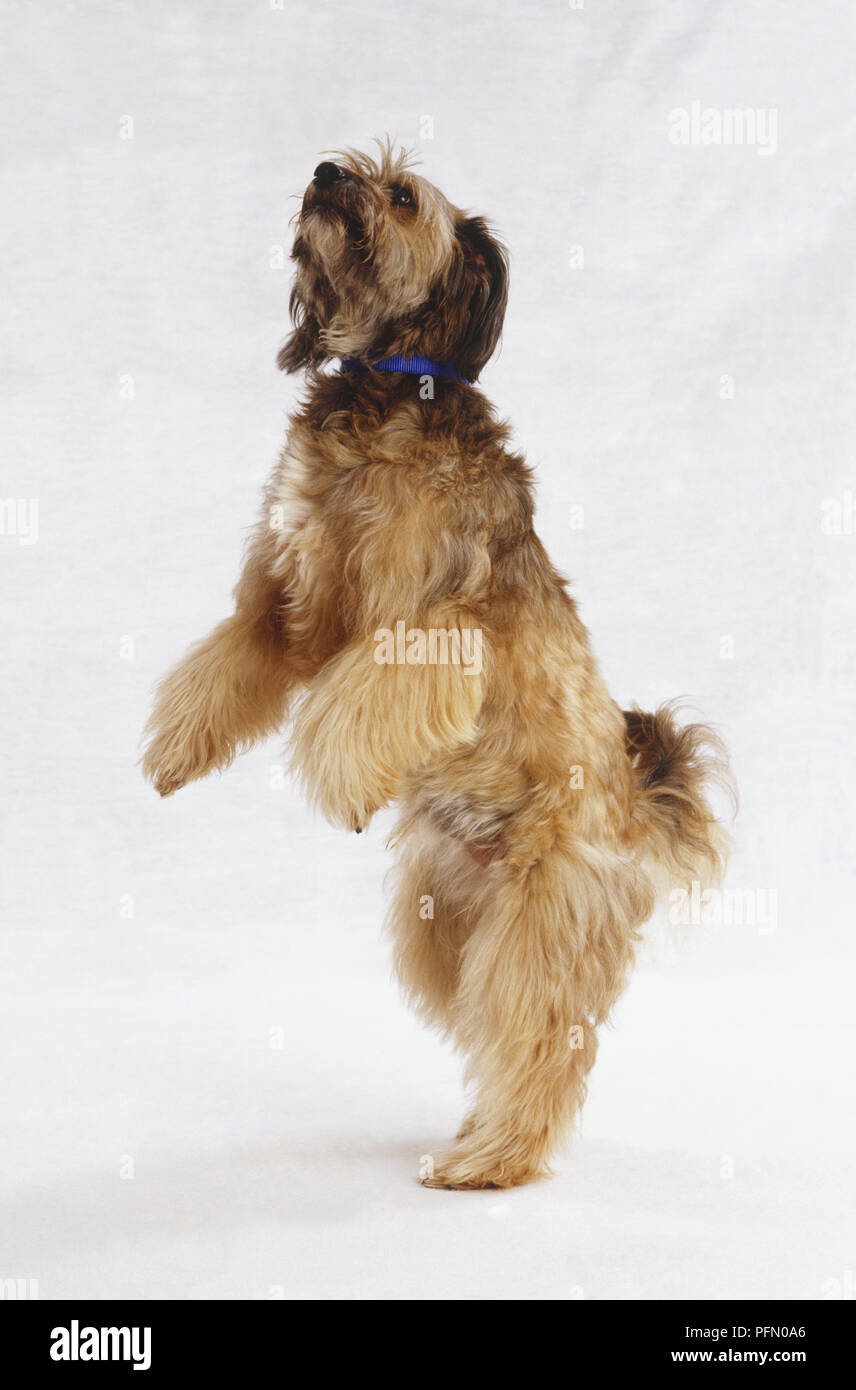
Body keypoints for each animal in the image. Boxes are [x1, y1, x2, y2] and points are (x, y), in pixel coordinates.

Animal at [142, 141, 728, 1189]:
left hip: (540, 926)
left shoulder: (429, 627)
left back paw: (489, 1161)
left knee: (540, 1043)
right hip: (444, 928)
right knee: (496, 1034)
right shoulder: (284, 603)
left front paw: (340, 785)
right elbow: (225, 662)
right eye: (347, 161)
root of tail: (636, 807)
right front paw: (174, 750)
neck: (386, 386)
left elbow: (354, 701)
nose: (325, 170)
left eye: (403, 193)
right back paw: (477, 1131)